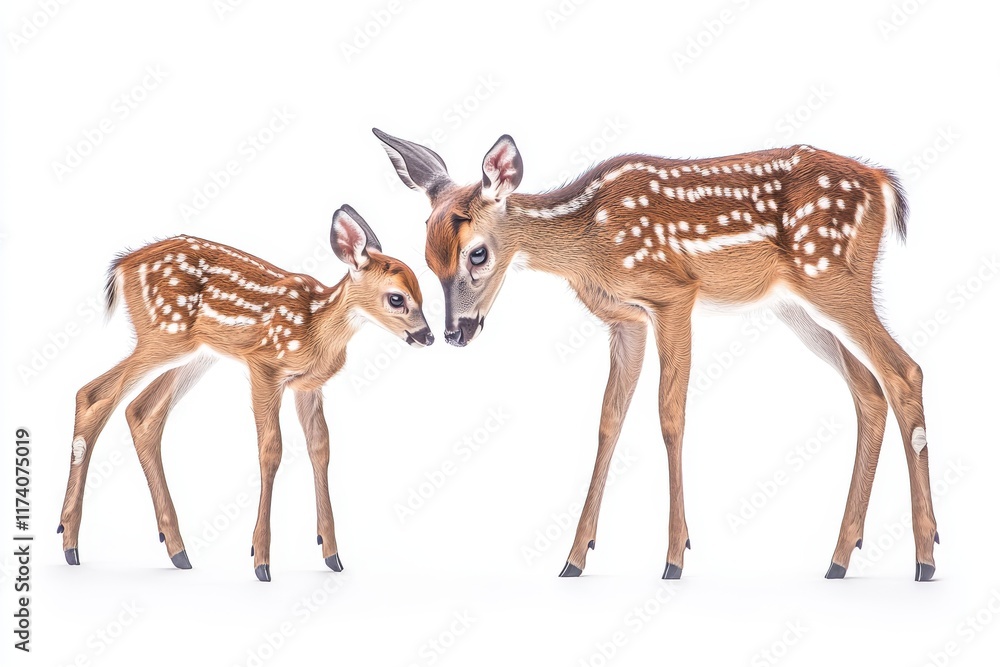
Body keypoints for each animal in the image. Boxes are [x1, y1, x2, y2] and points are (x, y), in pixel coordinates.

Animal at [57, 205, 433, 581]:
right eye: (397, 298)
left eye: (423, 295)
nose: (428, 336)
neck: (316, 328)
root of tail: (122, 264)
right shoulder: (263, 366)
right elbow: (271, 450)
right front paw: (261, 561)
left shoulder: (308, 385)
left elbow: (320, 448)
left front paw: (331, 554)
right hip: (164, 334)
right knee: (93, 394)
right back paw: (70, 544)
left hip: (195, 354)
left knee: (140, 412)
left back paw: (177, 551)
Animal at [374, 128, 939, 581]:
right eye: (427, 260)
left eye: (478, 253)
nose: (456, 333)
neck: (589, 241)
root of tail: (883, 181)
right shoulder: (625, 319)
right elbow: (609, 418)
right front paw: (574, 558)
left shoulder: (673, 294)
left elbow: (670, 414)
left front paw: (674, 557)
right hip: (794, 304)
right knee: (868, 388)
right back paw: (840, 559)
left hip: (833, 276)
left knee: (905, 371)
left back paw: (925, 558)